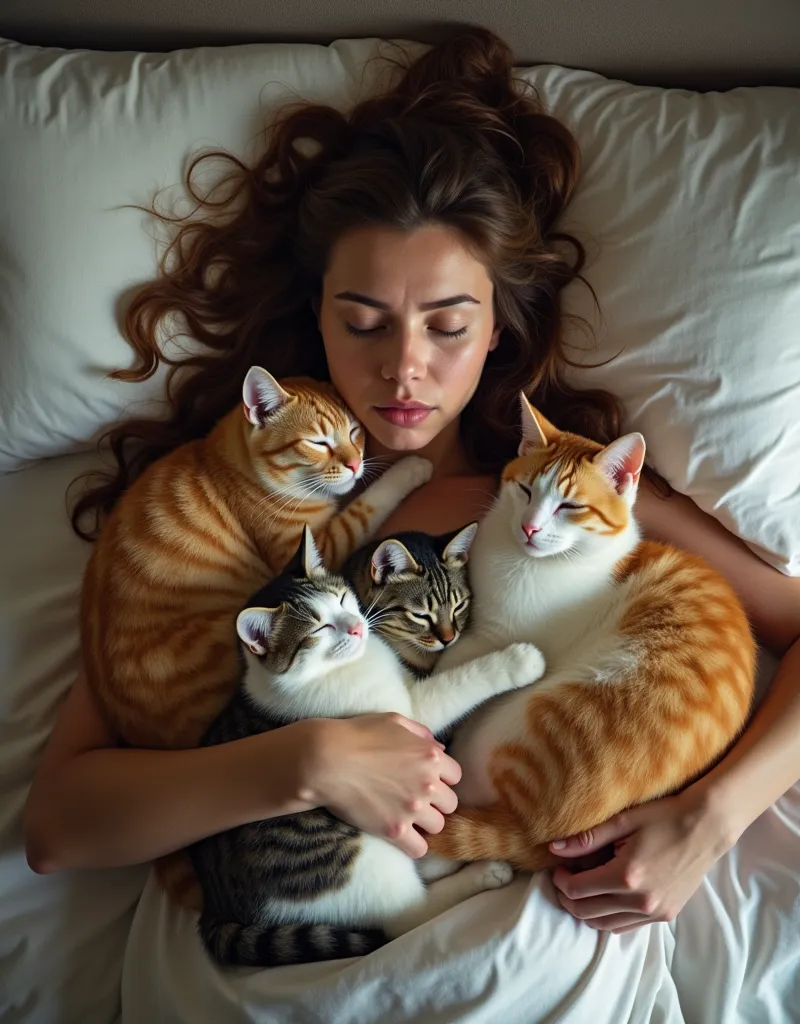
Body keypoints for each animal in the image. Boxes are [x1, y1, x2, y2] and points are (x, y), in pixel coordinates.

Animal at [80, 364, 430, 749]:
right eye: (318, 443)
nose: (356, 464)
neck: (229, 466)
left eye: (354, 432)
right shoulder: (323, 540)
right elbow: (366, 506)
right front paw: (411, 468)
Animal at [187, 524, 544, 962]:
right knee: (406, 917)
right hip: (351, 862)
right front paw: (518, 660)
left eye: (342, 599)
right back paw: (484, 871)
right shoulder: (406, 717)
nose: (357, 627)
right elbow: (457, 681)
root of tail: (216, 905)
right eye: (318, 629)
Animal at [428, 397, 753, 872]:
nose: (529, 527)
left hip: (507, 727)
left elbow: (450, 664)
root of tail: (536, 830)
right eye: (525, 490)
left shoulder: (492, 636)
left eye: (569, 506)